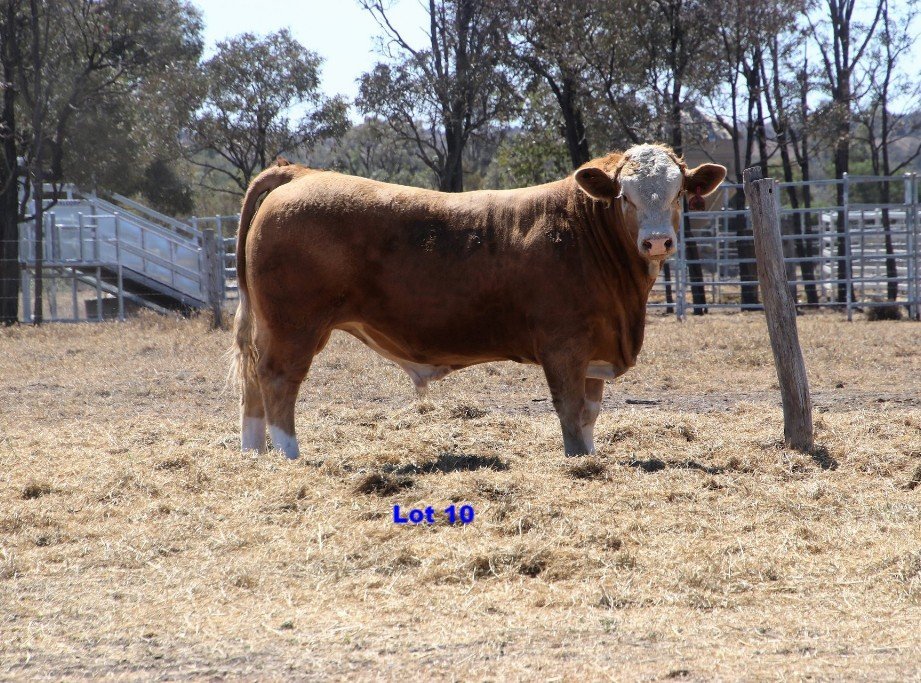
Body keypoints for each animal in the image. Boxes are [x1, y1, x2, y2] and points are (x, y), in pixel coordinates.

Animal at [230, 145, 726, 458]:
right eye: (626, 195)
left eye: (679, 191)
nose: (657, 241)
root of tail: (302, 174)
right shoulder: (563, 346)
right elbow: (569, 412)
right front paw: (577, 463)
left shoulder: (595, 350)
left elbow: (590, 415)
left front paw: (591, 456)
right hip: (294, 326)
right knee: (278, 382)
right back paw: (290, 457)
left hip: (271, 326)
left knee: (253, 382)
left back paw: (255, 456)